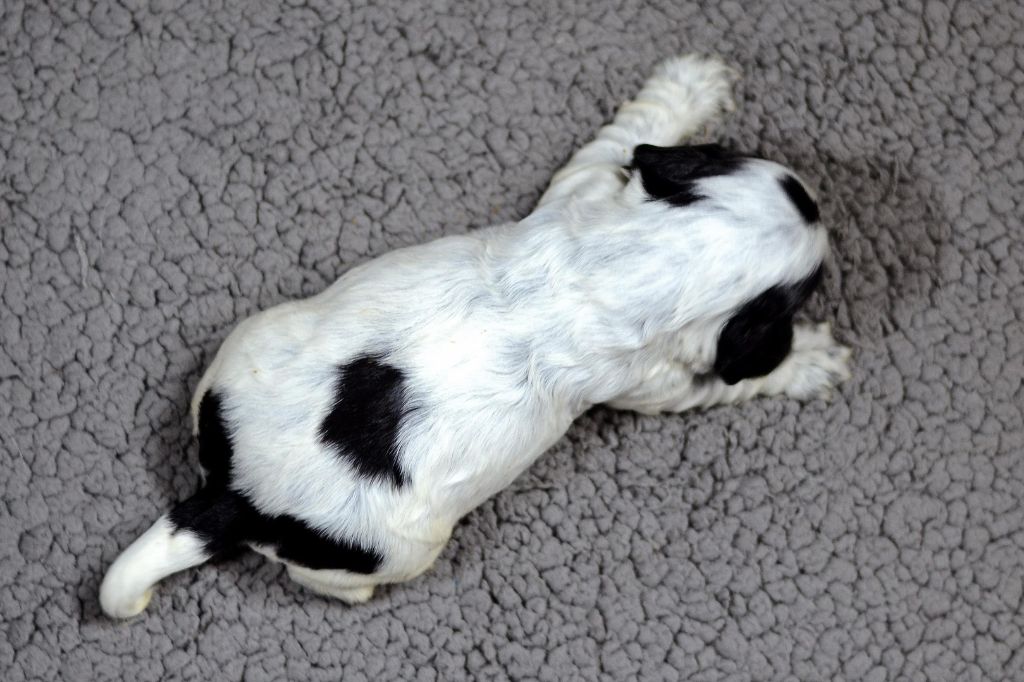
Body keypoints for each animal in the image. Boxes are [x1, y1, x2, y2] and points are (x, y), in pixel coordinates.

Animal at [100, 55, 851, 618]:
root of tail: (232, 497)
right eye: (806, 288)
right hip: (398, 550)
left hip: (249, 343)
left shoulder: (585, 183)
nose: (817, 197)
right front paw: (812, 359)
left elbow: (626, 133)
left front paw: (690, 84)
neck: (630, 260)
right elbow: (729, 383)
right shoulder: (655, 384)